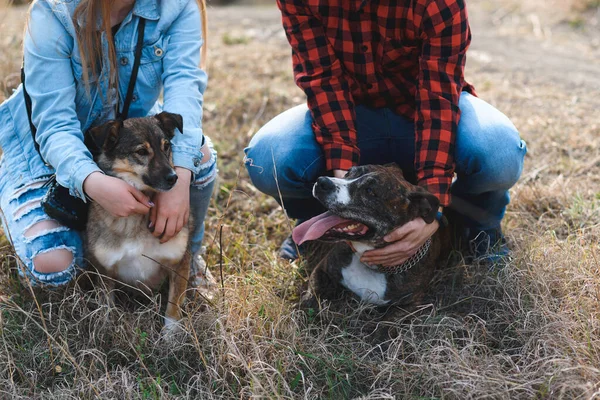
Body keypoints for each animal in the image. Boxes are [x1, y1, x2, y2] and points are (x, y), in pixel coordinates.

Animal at [84, 111, 191, 328]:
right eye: (141, 151)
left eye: (166, 146)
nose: (173, 178)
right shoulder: (104, 269)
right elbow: (106, 309)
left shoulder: (179, 263)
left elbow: (173, 309)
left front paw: (171, 335)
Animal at [290, 162, 450, 310]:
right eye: (348, 173)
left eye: (369, 191)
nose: (322, 181)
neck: (371, 266)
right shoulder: (321, 270)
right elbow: (310, 298)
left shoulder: (411, 304)